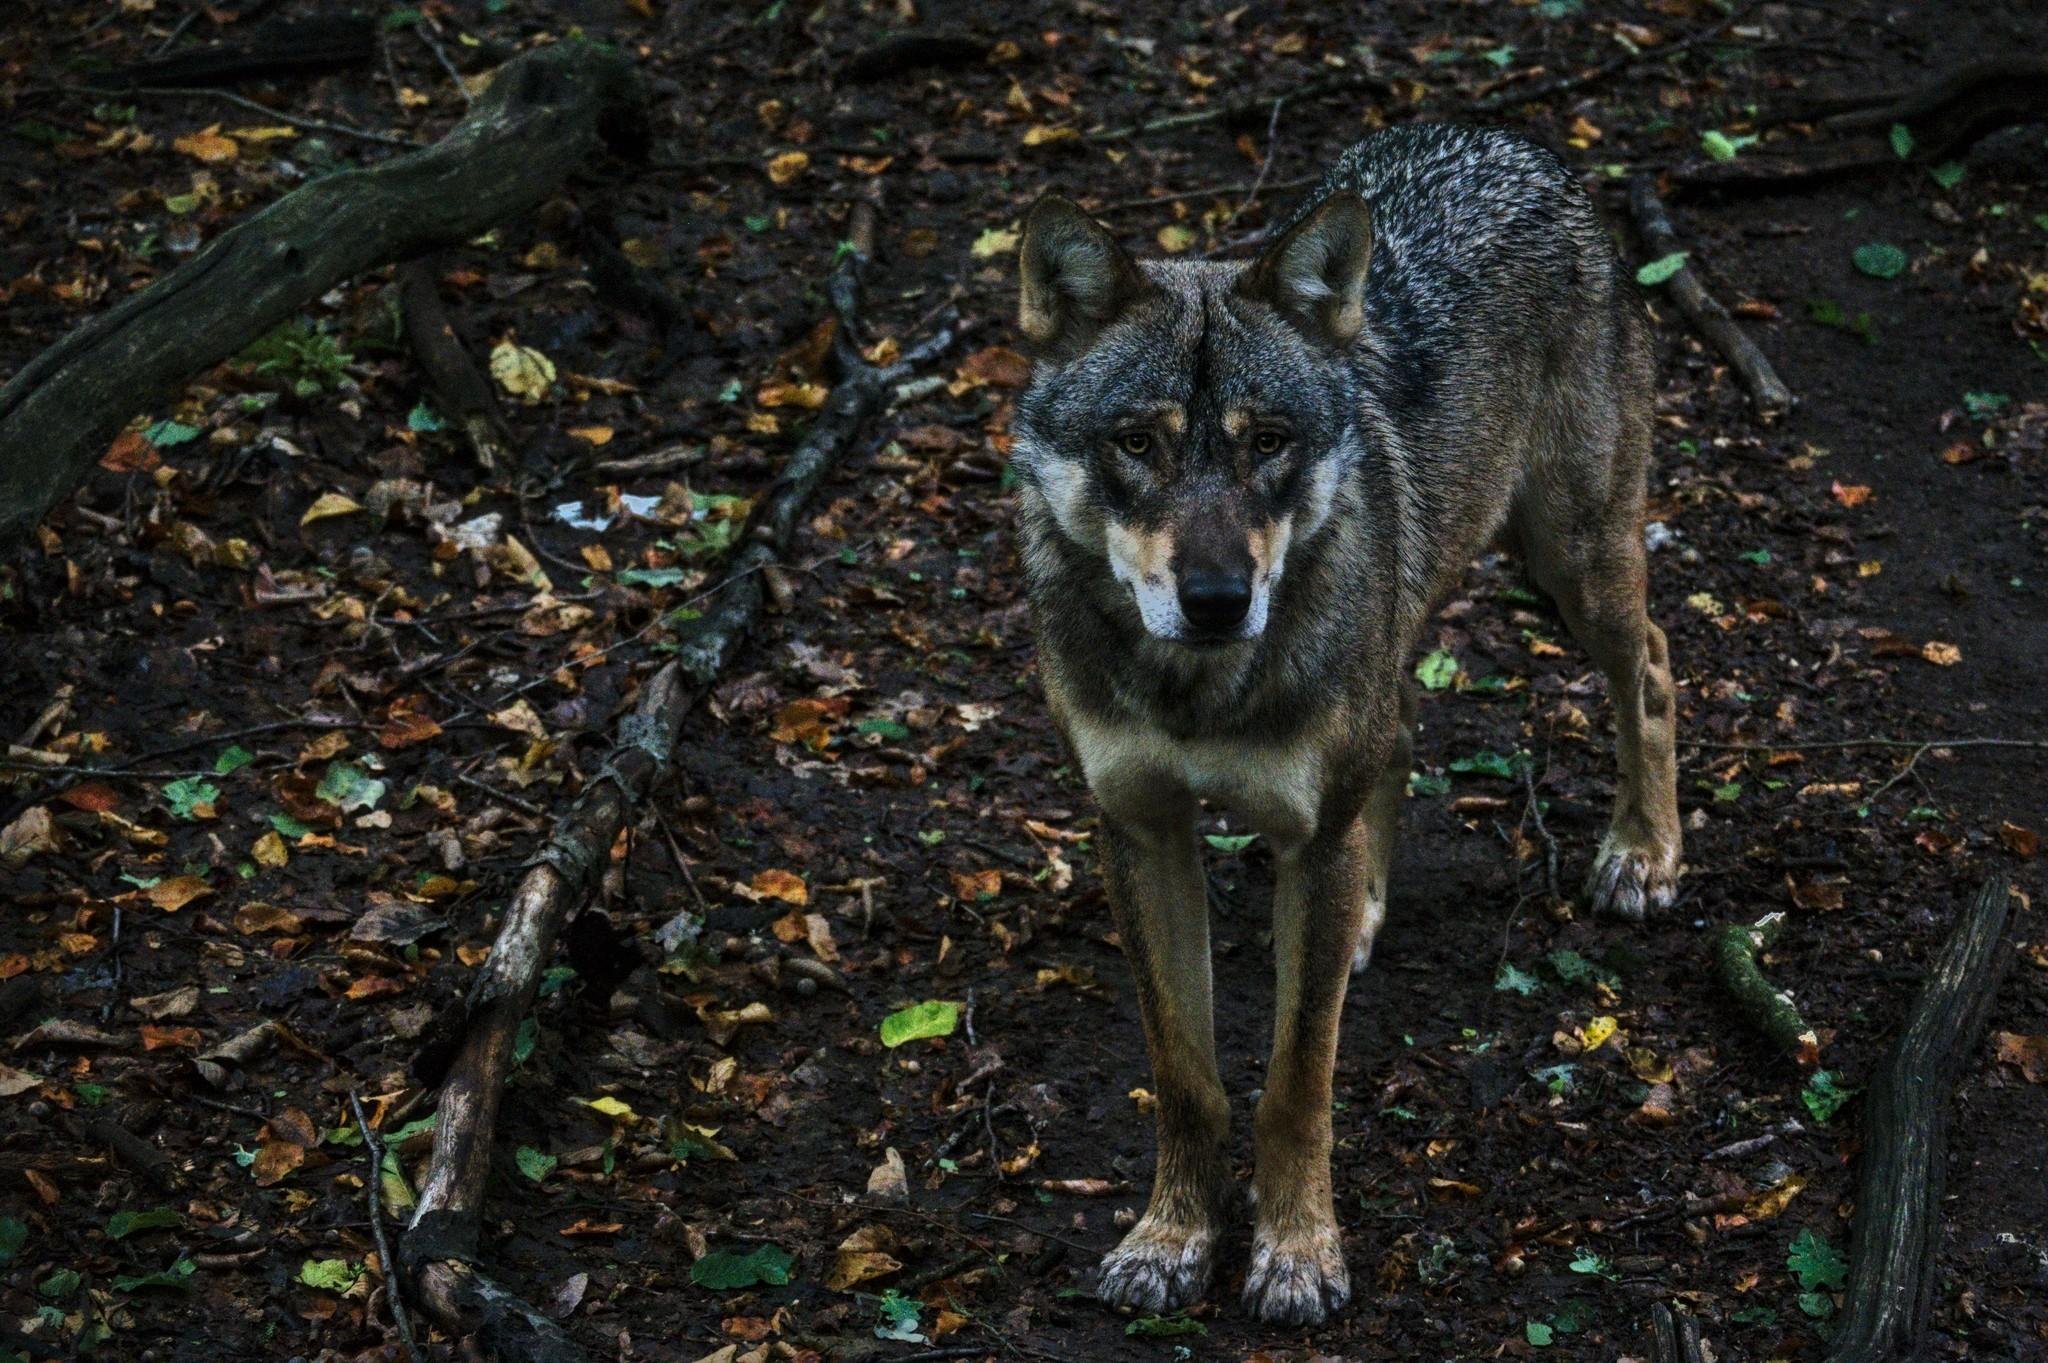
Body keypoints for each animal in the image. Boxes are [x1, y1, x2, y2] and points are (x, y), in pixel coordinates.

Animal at [1008, 123, 1682, 1325]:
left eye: (1268, 440)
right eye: (1137, 443)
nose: (1218, 598)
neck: (1197, 687)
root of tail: (1511, 141)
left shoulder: (1304, 837)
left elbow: (1293, 1084)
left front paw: (1295, 1254)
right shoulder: (1139, 830)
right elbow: (1185, 1075)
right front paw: (1169, 1239)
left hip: (1571, 562)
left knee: (1649, 665)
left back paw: (1642, 855)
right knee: (1404, 730)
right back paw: (1371, 913)